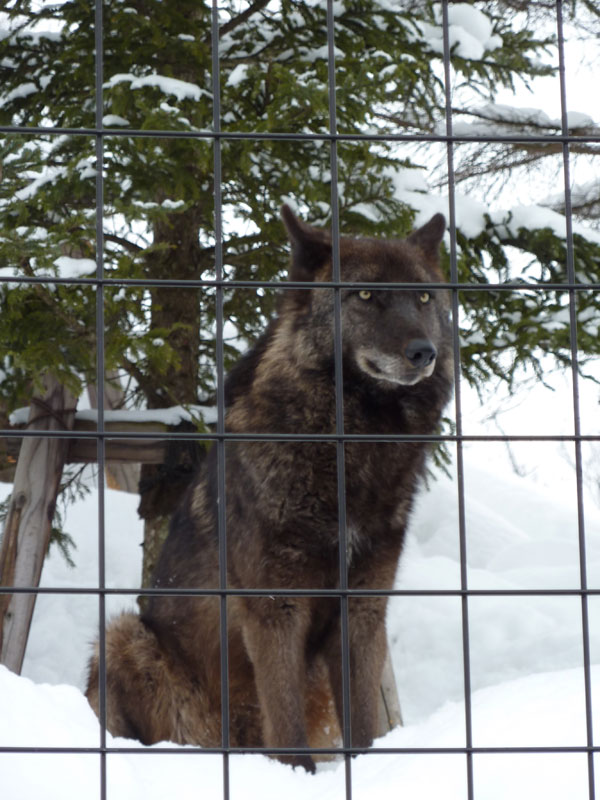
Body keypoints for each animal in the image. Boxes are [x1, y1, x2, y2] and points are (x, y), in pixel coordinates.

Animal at [86, 205, 453, 773]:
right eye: (365, 294)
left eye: (424, 298)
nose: (424, 352)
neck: (352, 449)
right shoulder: (274, 609)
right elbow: (287, 730)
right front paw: (295, 778)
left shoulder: (364, 607)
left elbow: (364, 723)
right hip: (122, 635)